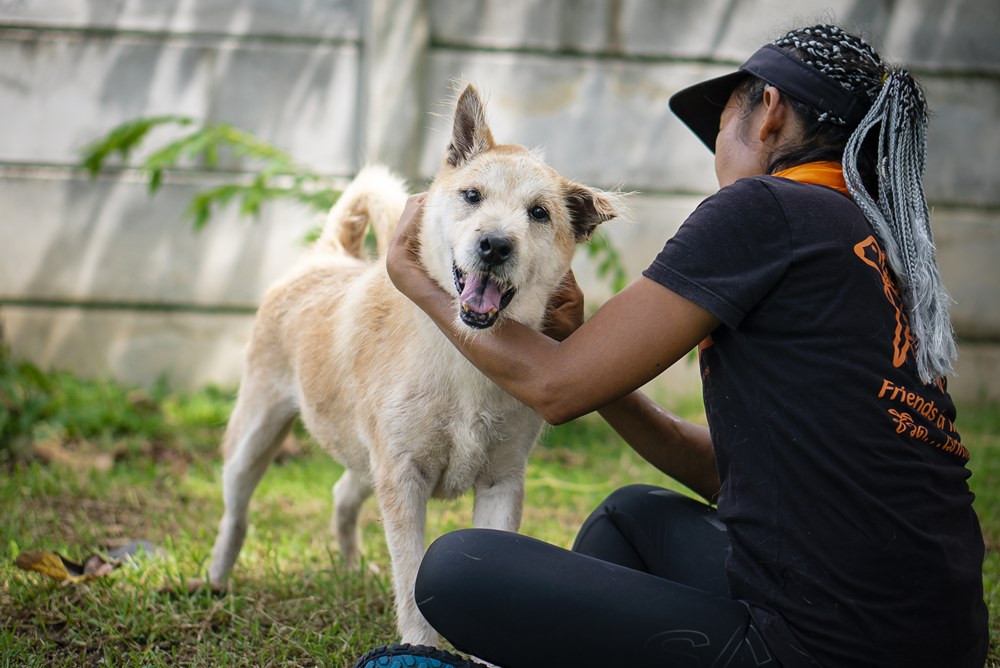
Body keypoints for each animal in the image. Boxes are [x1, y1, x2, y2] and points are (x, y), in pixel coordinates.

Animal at [208, 82, 616, 640]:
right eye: (472, 196)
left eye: (539, 213)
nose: (494, 245)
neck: (466, 354)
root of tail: (328, 256)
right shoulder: (402, 478)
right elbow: (412, 578)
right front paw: (421, 644)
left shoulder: (501, 482)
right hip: (257, 435)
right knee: (237, 511)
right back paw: (215, 581)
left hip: (364, 456)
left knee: (342, 492)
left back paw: (349, 568)